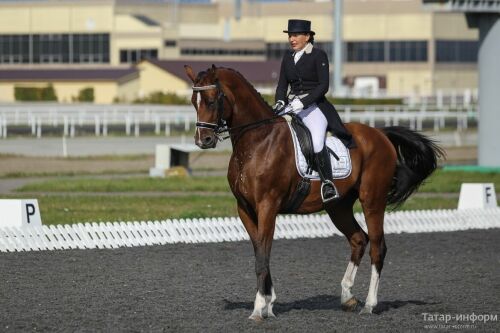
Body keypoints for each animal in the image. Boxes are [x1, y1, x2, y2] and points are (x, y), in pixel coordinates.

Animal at [185, 63, 446, 320]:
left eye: (211, 100)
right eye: (193, 101)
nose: (203, 140)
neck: (258, 141)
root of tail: (380, 134)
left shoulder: (267, 206)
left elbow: (263, 255)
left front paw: (259, 308)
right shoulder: (245, 209)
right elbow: (260, 251)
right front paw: (269, 303)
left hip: (373, 200)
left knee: (377, 247)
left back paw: (370, 305)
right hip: (338, 206)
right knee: (358, 239)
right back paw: (347, 297)